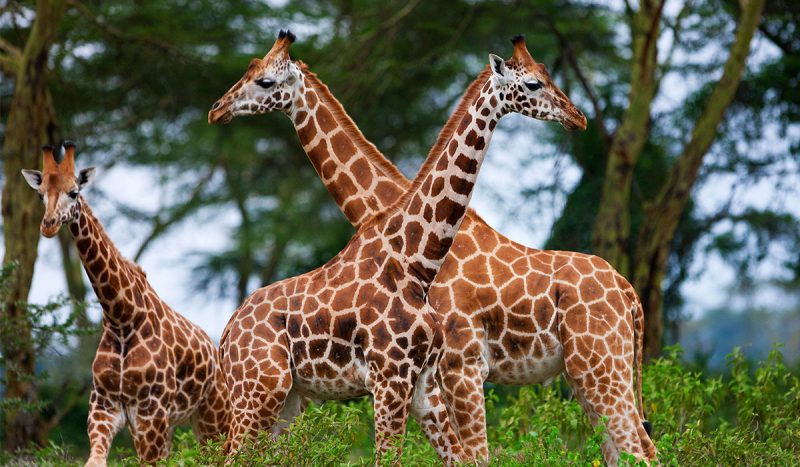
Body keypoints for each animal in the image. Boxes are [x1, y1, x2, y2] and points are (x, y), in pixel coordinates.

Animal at [21, 143, 229, 466]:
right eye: (41, 194)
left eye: (74, 192)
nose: (49, 225)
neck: (122, 317)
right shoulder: (105, 407)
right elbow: (95, 461)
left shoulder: (151, 411)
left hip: (213, 416)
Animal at [209, 31, 656, 465]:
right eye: (534, 82)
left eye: (264, 80)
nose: (217, 109)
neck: (413, 255)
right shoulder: (425, 375)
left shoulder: (439, 374)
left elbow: (463, 457)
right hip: (267, 391)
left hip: (597, 366)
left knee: (637, 448)